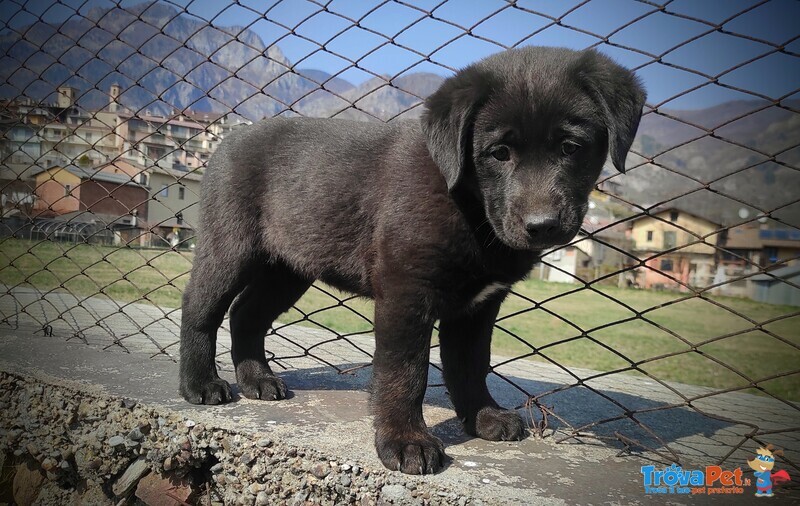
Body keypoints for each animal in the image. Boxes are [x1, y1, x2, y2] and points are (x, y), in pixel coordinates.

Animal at [180, 46, 644, 474]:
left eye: (571, 147)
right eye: (499, 153)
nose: (542, 225)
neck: (468, 206)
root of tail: (230, 136)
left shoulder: (478, 307)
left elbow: (470, 365)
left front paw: (483, 416)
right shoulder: (406, 293)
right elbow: (405, 372)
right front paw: (405, 441)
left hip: (288, 267)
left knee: (247, 314)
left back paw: (257, 380)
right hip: (230, 247)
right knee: (201, 308)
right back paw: (200, 383)